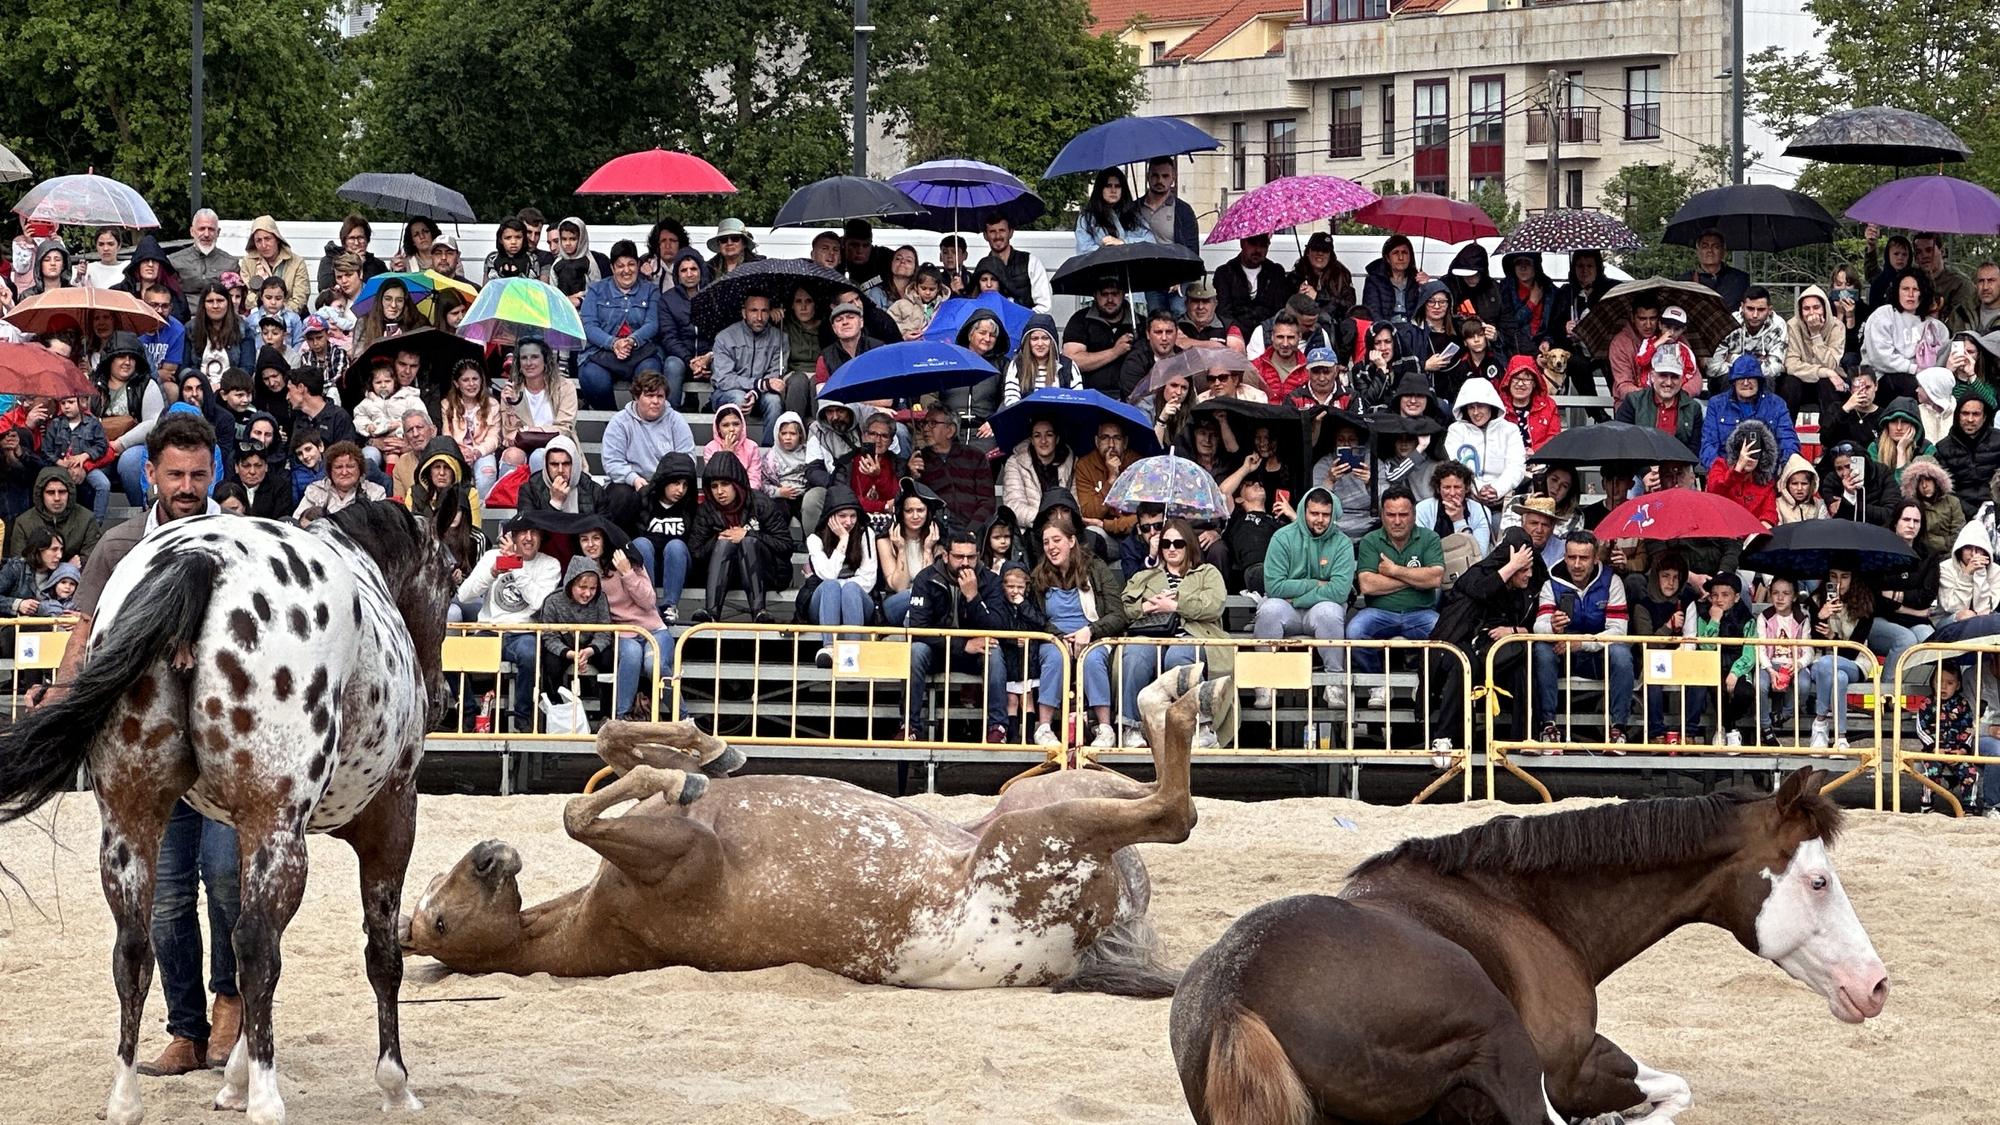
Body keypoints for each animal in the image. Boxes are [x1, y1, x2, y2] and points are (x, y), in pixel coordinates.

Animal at [0, 500, 456, 1120]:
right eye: (453, 574)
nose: (443, 696)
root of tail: (203, 558)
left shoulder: (241, 835)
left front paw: (233, 1078)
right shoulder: (390, 820)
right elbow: (382, 955)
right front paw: (395, 1086)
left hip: (131, 822)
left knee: (135, 951)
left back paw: (125, 1100)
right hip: (278, 828)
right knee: (258, 945)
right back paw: (267, 1100)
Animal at [402, 660, 1216, 992]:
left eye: (438, 894)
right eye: (437, 922)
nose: (489, 854)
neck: (597, 922)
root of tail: (1086, 948)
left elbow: (606, 743)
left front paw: (704, 750)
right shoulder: (672, 856)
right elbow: (579, 813)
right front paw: (680, 772)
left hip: (1044, 800)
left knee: (1155, 793)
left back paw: (1175, 688)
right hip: (1040, 832)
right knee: (1174, 812)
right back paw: (1177, 696)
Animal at [1168, 764, 1880, 1120]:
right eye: (1819, 881)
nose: (1874, 985)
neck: (1524, 907)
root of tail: (1238, 995)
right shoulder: (1570, 1069)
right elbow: (1672, 1094)